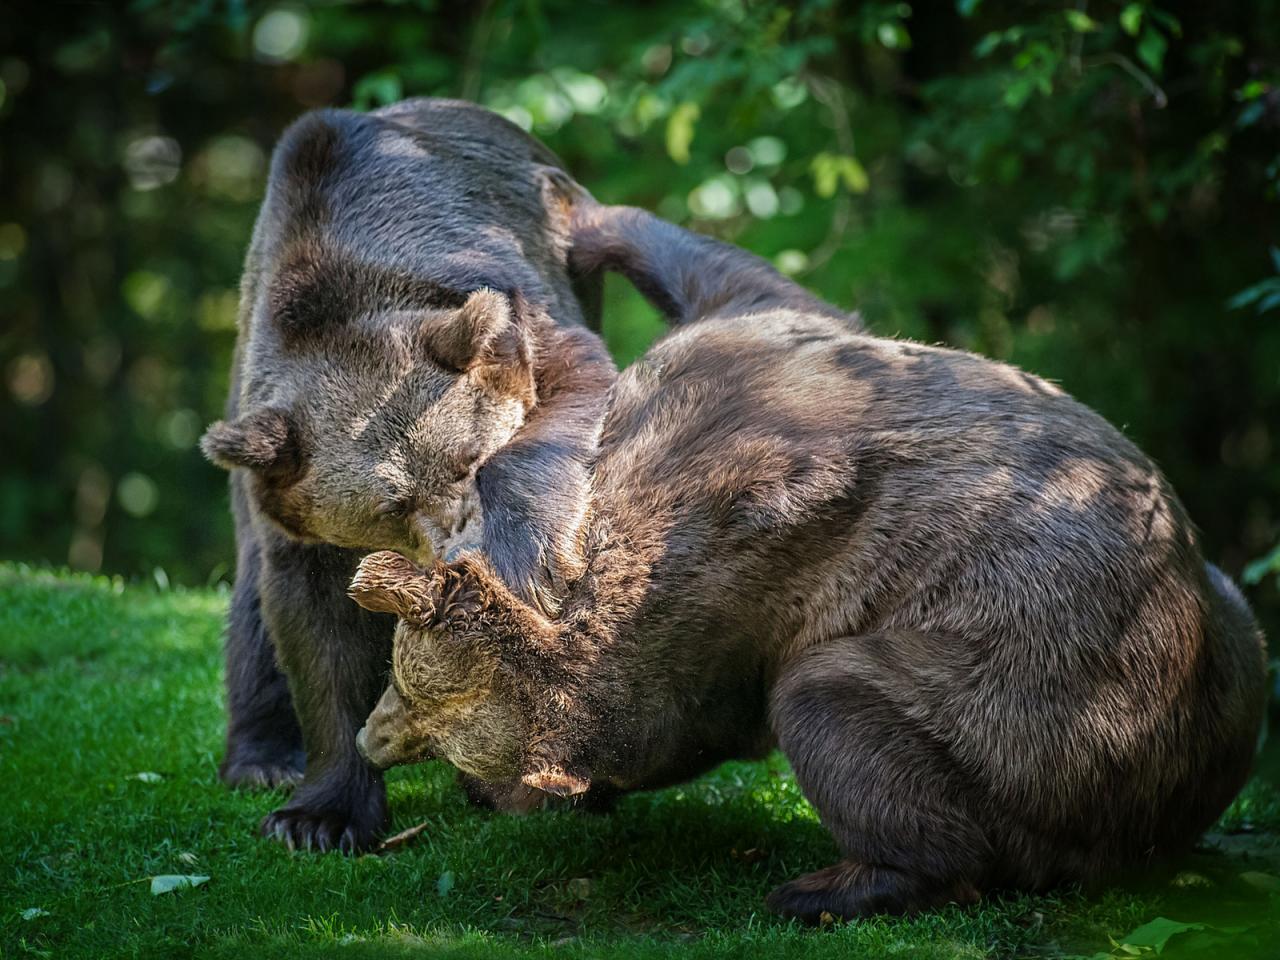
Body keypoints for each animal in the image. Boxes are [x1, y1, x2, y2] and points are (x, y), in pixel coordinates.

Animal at [345, 203, 1264, 926]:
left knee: (843, 705)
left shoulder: (747, 541)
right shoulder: (768, 352)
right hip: (1223, 632)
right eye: (411, 689)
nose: (372, 737)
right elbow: (758, 285)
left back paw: (831, 886)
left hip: (1042, 693)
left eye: (427, 710)